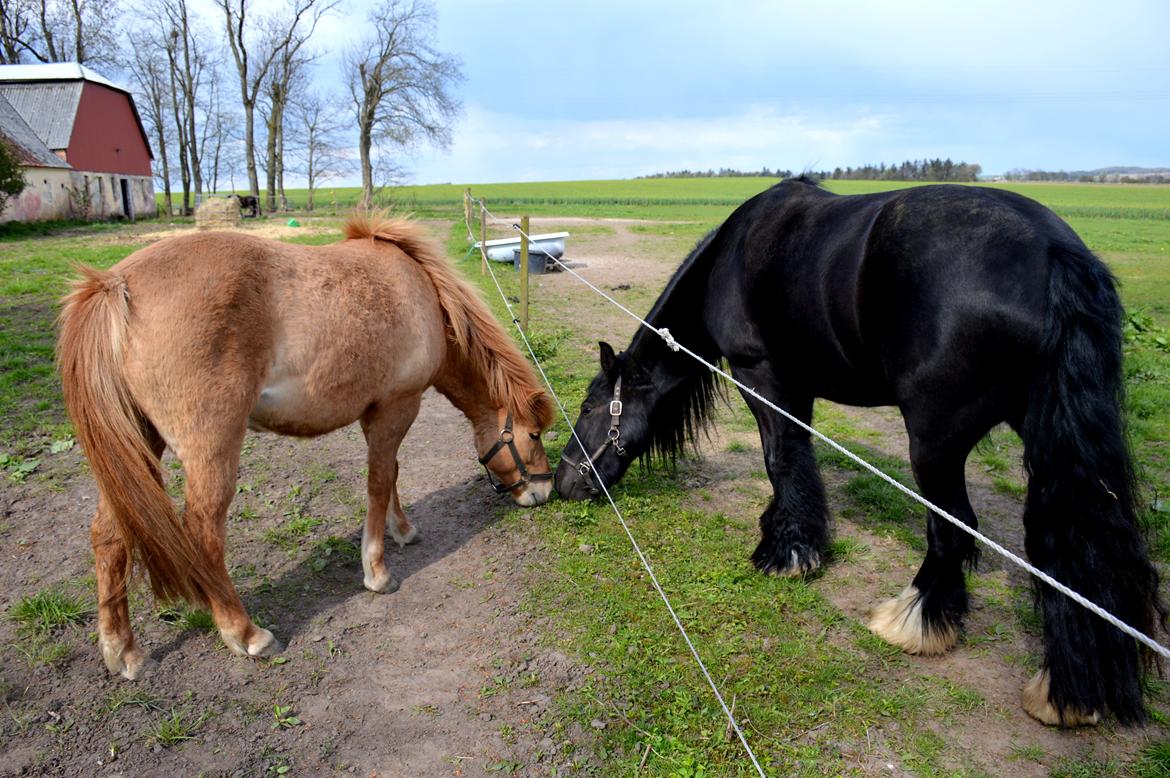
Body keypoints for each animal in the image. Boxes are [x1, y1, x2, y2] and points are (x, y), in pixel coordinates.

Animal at [60, 215, 556, 678]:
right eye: (533, 435)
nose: (544, 491)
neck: (424, 296)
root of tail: (115, 286)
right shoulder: (397, 406)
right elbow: (379, 483)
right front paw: (377, 571)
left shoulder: (376, 412)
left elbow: (392, 474)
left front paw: (402, 530)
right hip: (210, 451)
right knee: (202, 535)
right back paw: (245, 633)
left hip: (139, 448)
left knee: (108, 536)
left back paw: (122, 650)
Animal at [554, 178, 1160, 725]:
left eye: (588, 406)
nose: (562, 483)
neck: (733, 257)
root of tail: (1054, 253)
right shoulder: (794, 389)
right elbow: (795, 461)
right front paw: (788, 533)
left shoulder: (763, 376)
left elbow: (782, 459)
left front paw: (787, 552)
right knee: (1064, 540)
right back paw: (1067, 691)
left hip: (936, 440)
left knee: (954, 524)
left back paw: (914, 621)